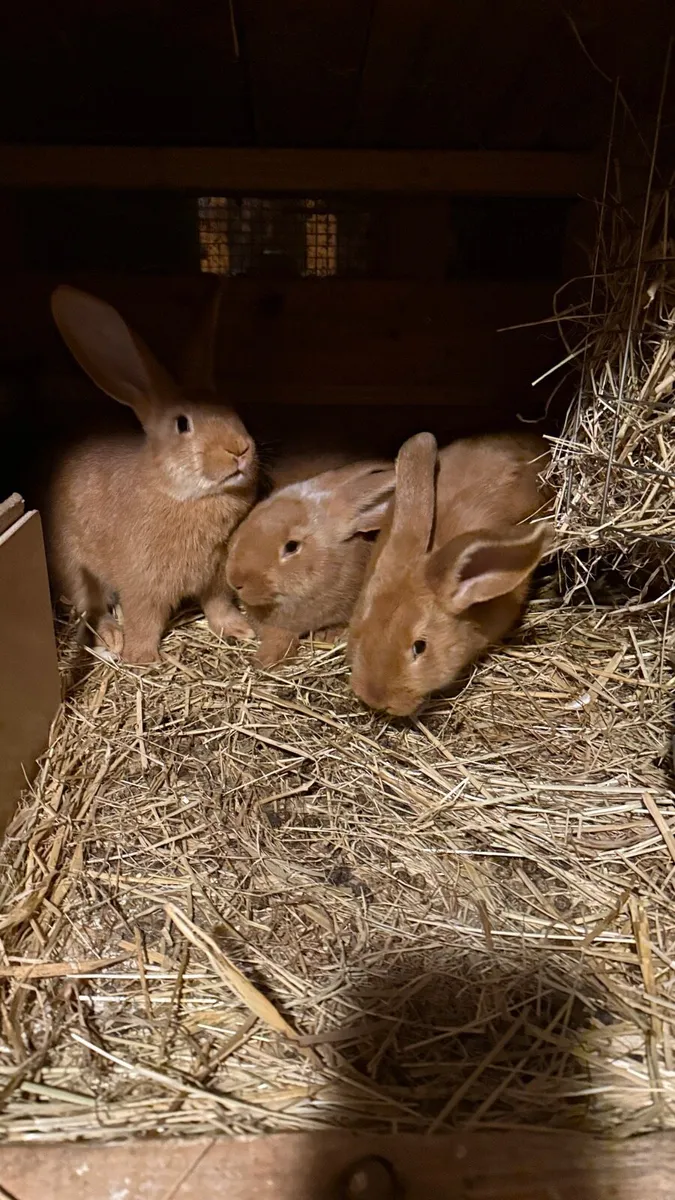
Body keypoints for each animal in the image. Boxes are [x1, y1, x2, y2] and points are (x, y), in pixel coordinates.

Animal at [43, 282, 258, 663]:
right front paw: (142, 658)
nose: (239, 449)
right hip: (75, 567)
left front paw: (239, 630)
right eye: (183, 424)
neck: (182, 494)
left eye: (231, 409)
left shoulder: (216, 580)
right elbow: (144, 620)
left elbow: (218, 606)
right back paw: (113, 637)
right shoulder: (143, 584)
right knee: (89, 605)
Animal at [225, 458, 396, 667]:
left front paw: (326, 636)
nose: (235, 581)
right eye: (254, 512)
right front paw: (266, 660)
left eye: (292, 546)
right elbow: (279, 636)